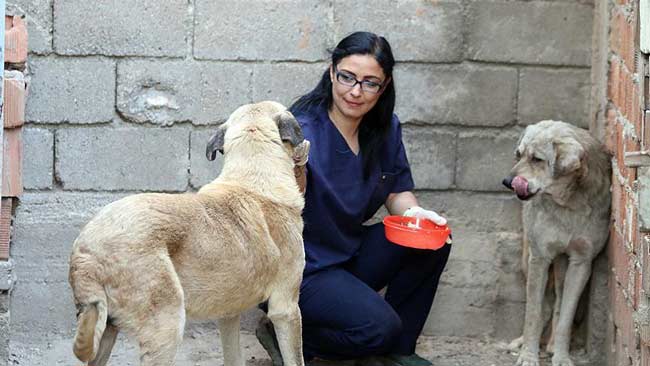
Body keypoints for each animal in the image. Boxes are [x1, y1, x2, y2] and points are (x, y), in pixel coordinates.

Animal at [67, 101, 308, 366]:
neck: (253, 177)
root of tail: (85, 251)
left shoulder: (228, 313)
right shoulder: (286, 309)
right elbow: (296, 359)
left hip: (107, 331)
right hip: (166, 328)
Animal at [502, 121, 608, 366]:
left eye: (537, 159)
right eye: (519, 155)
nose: (507, 182)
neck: (568, 204)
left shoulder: (582, 262)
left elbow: (566, 318)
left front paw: (561, 356)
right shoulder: (539, 258)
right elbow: (532, 314)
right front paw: (528, 356)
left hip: (563, 266)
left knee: (558, 303)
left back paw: (550, 346)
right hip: (528, 259)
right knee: (545, 307)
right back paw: (522, 343)